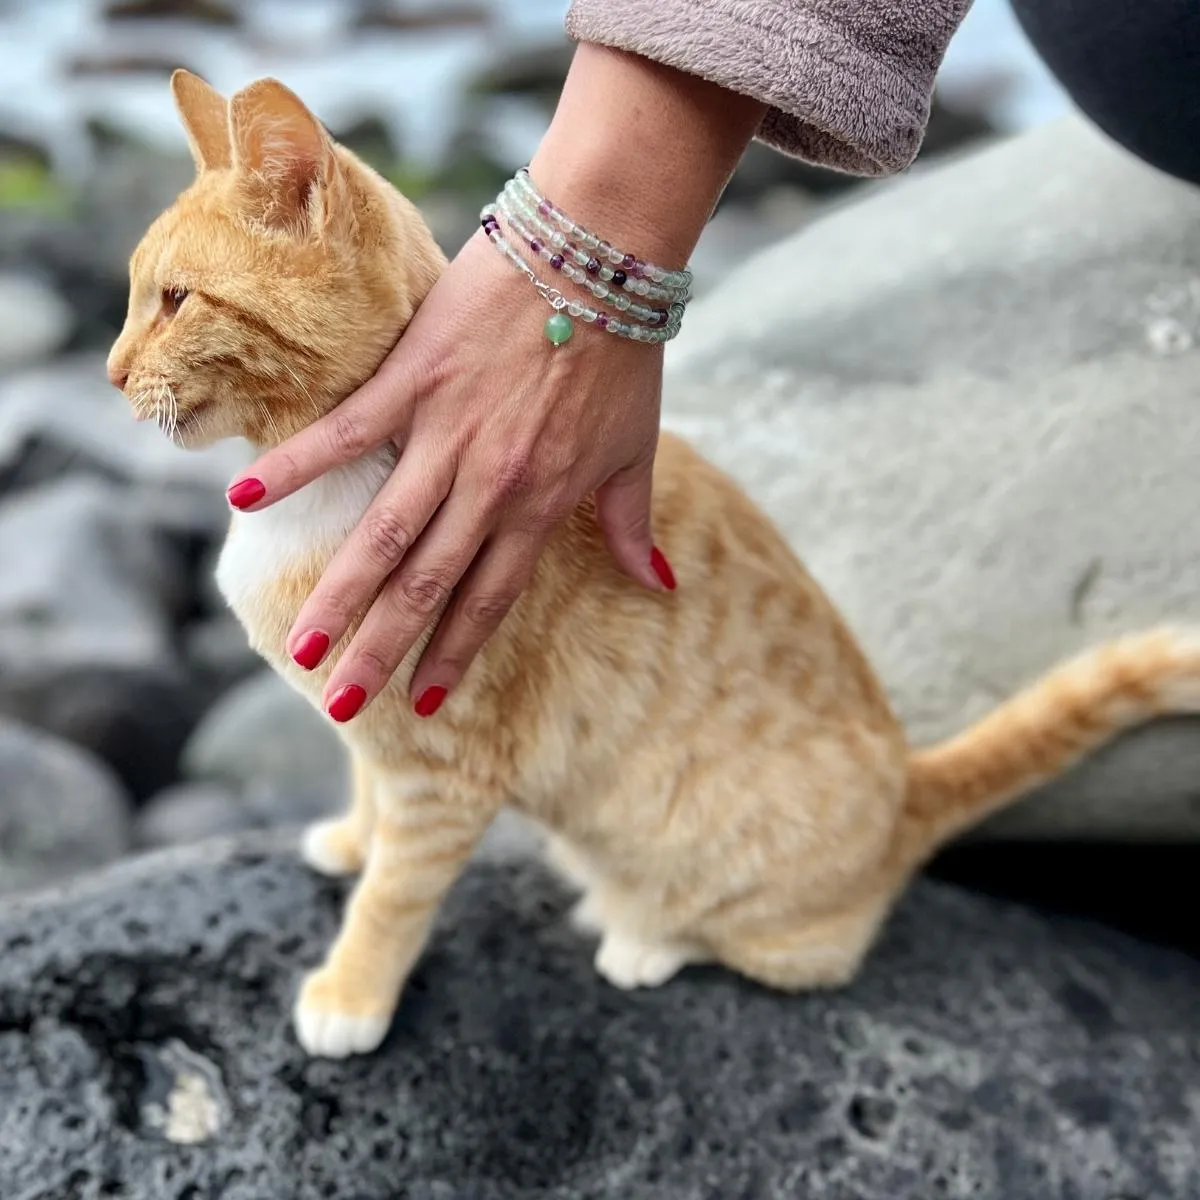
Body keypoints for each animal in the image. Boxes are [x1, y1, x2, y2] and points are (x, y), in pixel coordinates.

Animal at [108, 72, 1200, 1060]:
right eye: (131, 298)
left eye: (176, 300)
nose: (112, 376)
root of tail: (908, 781)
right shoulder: (373, 720)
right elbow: (366, 787)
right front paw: (348, 838)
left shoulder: (445, 765)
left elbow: (396, 894)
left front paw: (351, 991)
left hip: (763, 902)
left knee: (795, 951)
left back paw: (643, 936)